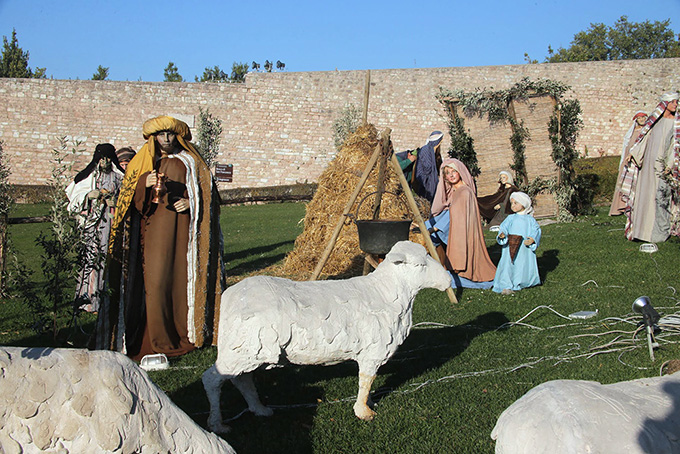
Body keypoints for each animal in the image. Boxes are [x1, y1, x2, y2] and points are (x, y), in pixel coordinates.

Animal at [202, 241, 452, 432]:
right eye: (420, 264)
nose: (449, 279)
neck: (386, 292)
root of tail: (231, 295)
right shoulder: (372, 351)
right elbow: (366, 380)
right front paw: (363, 412)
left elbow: (368, 383)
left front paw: (369, 403)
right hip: (243, 346)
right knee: (212, 379)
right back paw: (217, 424)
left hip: (250, 348)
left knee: (242, 379)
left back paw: (260, 409)